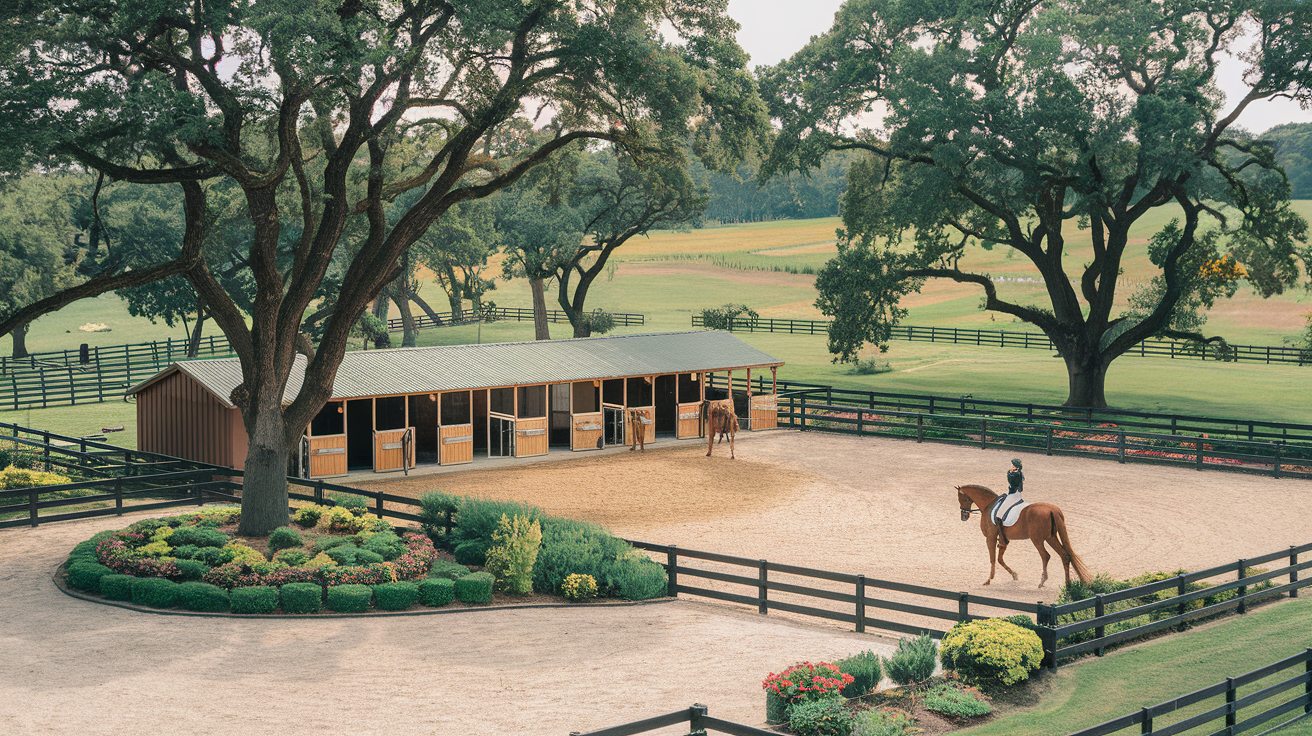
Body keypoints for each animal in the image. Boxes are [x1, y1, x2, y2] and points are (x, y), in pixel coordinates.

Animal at [960, 482, 1091, 585]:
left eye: (961, 498)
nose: (964, 517)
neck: (989, 505)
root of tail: (1052, 510)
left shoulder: (990, 537)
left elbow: (993, 558)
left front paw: (989, 580)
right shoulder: (1002, 540)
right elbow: (999, 559)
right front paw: (1014, 575)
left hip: (1037, 539)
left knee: (1045, 556)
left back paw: (1042, 582)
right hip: (1051, 538)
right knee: (1064, 556)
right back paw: (1067, 585)